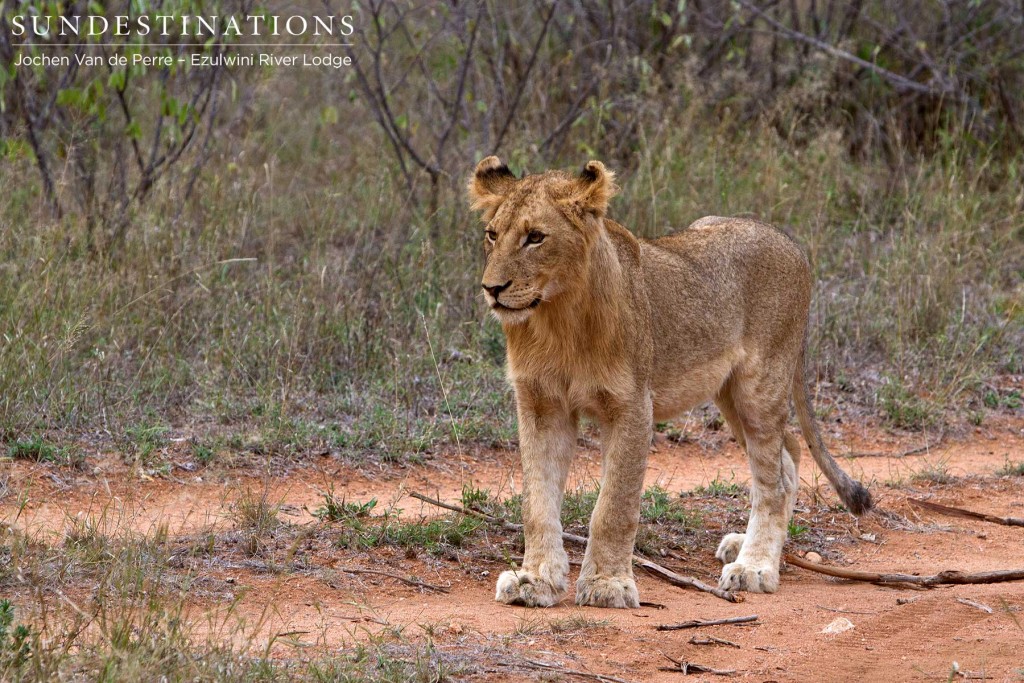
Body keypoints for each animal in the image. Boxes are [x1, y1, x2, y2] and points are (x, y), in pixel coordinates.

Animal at [468, 156, 876, 610]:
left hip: (760, 384)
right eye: (492, 234)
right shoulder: (541, 404)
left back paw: (754, 566)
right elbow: (537, 503)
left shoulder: (631, 404)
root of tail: (789, 241)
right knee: (788, 452)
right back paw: (748, 546)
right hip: (729, 394)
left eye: (536, 237)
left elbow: (614, 505)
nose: (492, 289)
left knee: (774, 478)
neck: (556, 319)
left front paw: (607, 584)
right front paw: (535, 579)